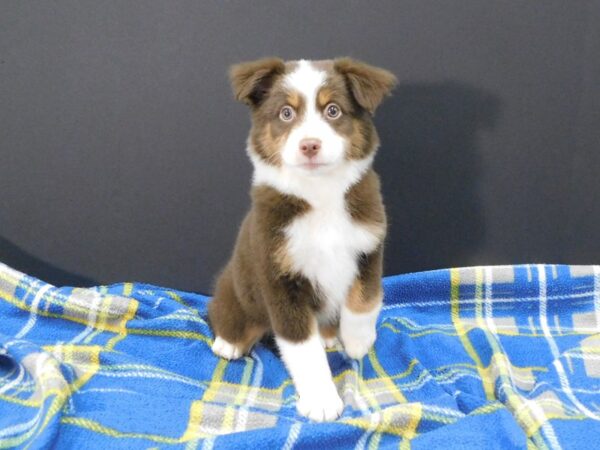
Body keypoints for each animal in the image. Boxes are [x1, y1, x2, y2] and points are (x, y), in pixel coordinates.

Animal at [209, 57, 396, 422]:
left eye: (333, 110)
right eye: (286, 113)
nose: (310, 145)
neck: (320, 194)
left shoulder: (369, 246)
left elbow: (365, 299)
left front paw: (358, 340)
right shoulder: (280, 279)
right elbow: (304, 351)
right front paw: (322, 401)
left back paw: (329, 335)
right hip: (235, 289)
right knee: (228, 315)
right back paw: (229, 342)